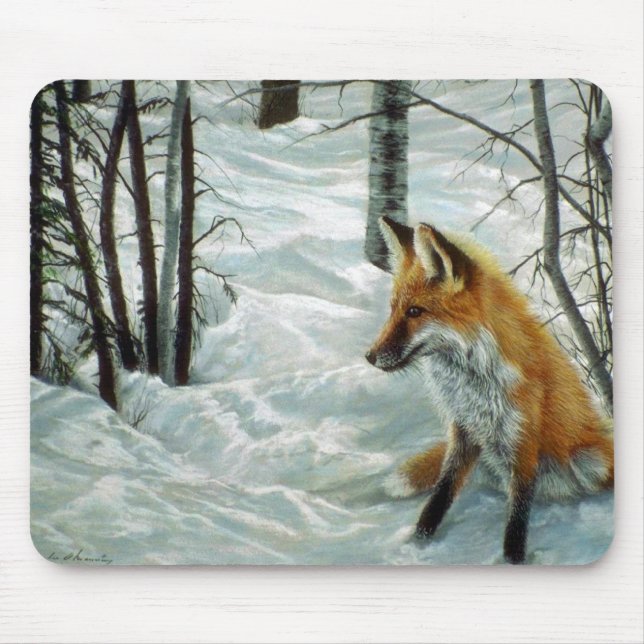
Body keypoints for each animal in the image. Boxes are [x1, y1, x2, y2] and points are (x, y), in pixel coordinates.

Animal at [365, 216, 614, 564]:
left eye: (414, 312)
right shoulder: (463, 430)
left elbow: (517, 520)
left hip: (591, 460)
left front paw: (513, 560)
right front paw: (419, 541)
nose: (370, 356)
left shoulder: (522, 439)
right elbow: (440, 496)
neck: (473, 382)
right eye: (393, 309)